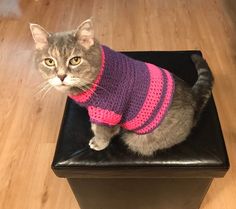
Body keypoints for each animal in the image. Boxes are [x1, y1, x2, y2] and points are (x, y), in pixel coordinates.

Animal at [30, 19, 214, 155]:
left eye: (75, 60)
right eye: (49, 61)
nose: (61, 76)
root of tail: (193, 95)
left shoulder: (108, 112)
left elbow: (101, 130)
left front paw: (98, 143)